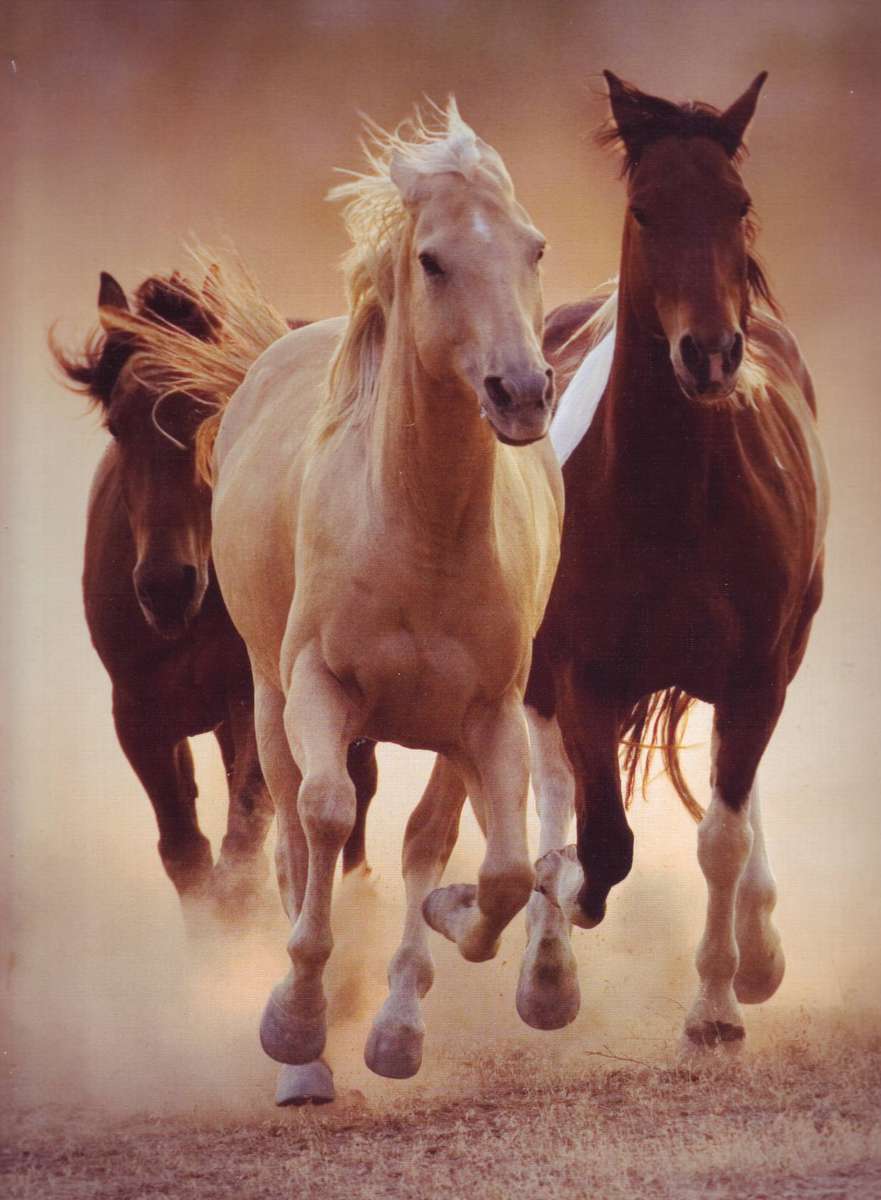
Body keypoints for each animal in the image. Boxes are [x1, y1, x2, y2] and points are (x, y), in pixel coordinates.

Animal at [53, 271, 378, 928]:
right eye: (117, 425)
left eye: (211, 413)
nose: (165, 585)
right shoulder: (139, 715)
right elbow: (186, 852)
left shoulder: (251, 699)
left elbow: (243, 842)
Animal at [123, 101, 562, 1103]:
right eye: (433, 259)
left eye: (534, 247)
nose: (521, 393)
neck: (419, 530)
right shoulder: (317, 691)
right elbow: (323, 820)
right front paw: (293, 1024)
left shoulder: (487, 715)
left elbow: (495, 867)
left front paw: (436, 944)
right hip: (265, 699)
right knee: (293, 833)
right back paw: (307, 1060)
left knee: (420, 839)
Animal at [517, 73, 829, 1053]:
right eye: (645, 209)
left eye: (737, 205)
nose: (710, 353)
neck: (672, 498)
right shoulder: (582, 673)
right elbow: (600, 840)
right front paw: (559, 901)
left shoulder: (757, 673)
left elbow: (720, 836)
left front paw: (719, 1005)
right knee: (550, 782)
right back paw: (544, 967)